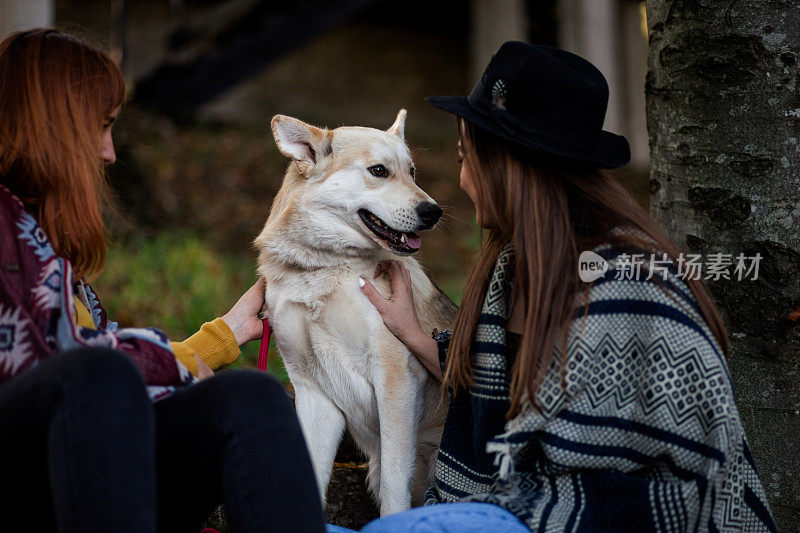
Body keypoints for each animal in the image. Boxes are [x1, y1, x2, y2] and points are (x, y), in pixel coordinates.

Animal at [255, 110, 456, 512]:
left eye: (412, 172)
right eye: (379, 171)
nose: (433, 211)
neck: (322, 270)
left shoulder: (395, 379)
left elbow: (395, 485)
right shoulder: (313, 391)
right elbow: (314, 476)